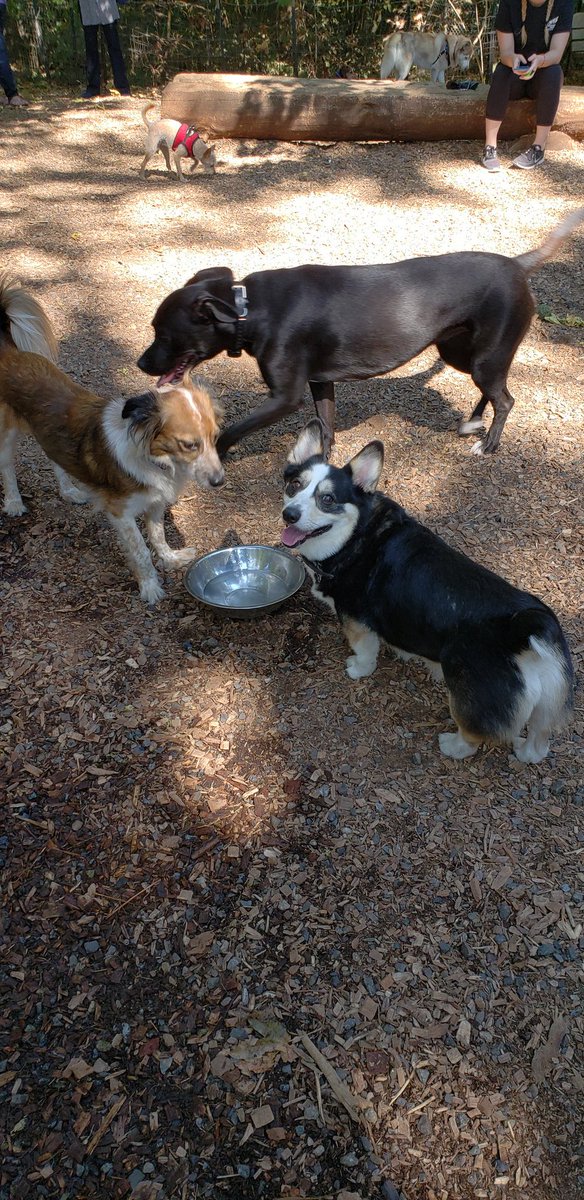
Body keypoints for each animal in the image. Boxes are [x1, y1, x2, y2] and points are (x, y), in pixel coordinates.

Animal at [0, 276, 225, 604]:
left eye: (215, 437)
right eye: (189, 444)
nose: (220, 482)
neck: (155, 459)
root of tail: (10, 352)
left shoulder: (155, 503)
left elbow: (158, 536)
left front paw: (170, 559)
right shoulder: (121, 513)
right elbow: (141, 550)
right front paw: (150, 588)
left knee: (55, 460)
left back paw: (70, 492)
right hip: (6, 434)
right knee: (7, 468)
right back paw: (15, 503)